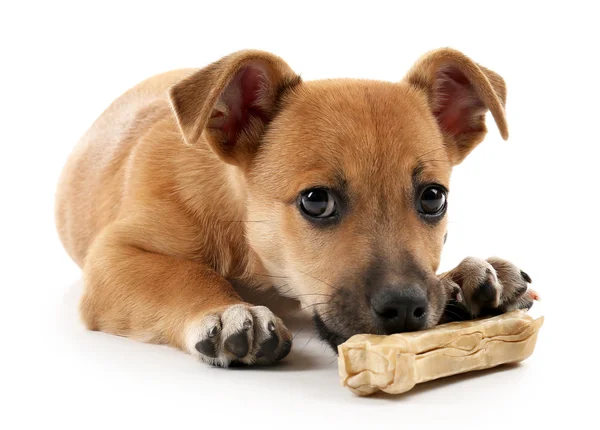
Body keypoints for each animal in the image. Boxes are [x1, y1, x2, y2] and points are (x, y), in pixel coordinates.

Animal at [55, 47, 536, 366]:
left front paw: (462, 276)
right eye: (316, 201)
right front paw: (227, 310)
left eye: (433, 197)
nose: (404, 308)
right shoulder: (113, 256)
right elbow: (182, 273)